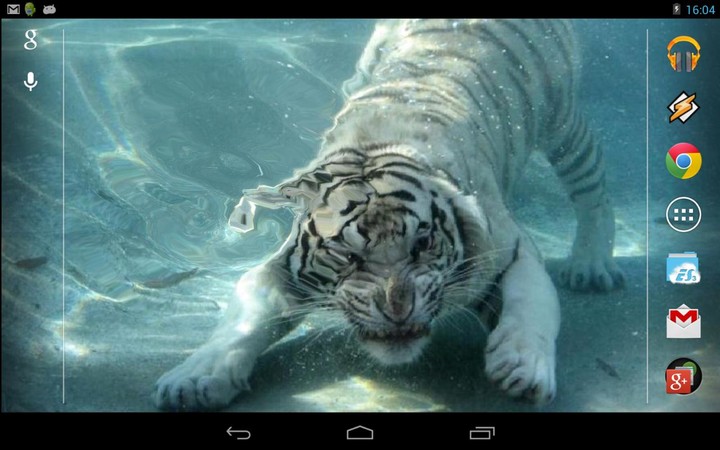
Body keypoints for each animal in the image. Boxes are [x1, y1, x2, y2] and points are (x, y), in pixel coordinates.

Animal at [154, 19, 624, 410]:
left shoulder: (511, 248)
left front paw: (523, 366)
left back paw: (590, 265)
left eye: (422, 244)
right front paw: (193, 379)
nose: (397, 310)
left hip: (563, 121)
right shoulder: (280, 268)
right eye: (346, 256)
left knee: (593, 184)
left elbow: (532, 303)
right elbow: (241, 323)